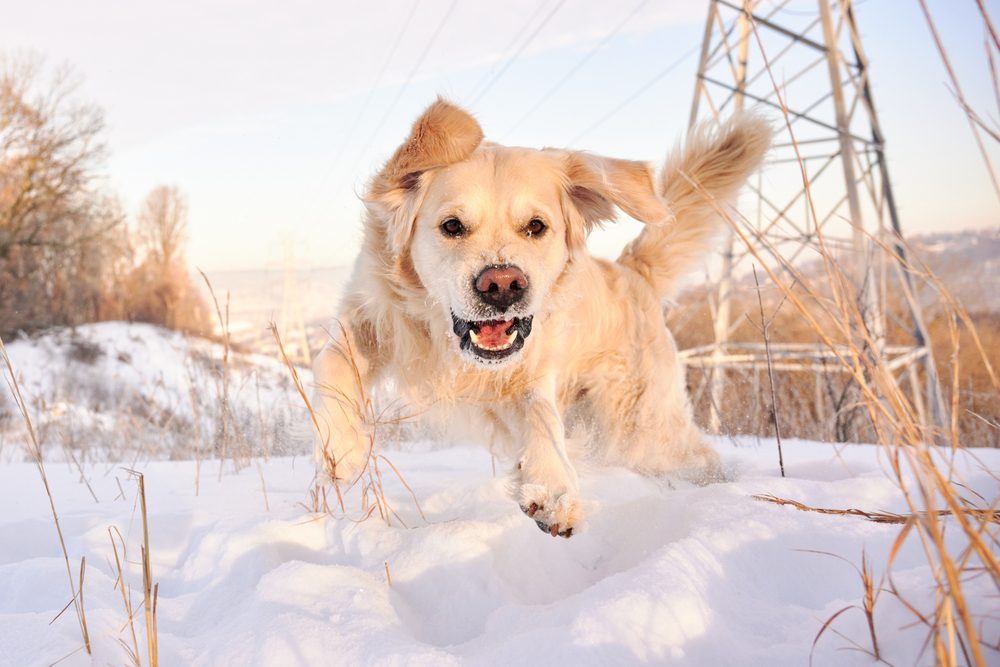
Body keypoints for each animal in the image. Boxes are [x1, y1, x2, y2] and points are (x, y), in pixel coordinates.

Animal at [312, 100, 772, 536]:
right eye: (452, 226)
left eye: (536, 226)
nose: (502, 285)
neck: (446, 340)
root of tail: (632, 271)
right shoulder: (369, 316)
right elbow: (331, 364)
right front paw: (344, 449)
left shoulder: (530, 369)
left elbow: (541, 414)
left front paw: (552, 487)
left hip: (639, 428)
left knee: (694, 456)